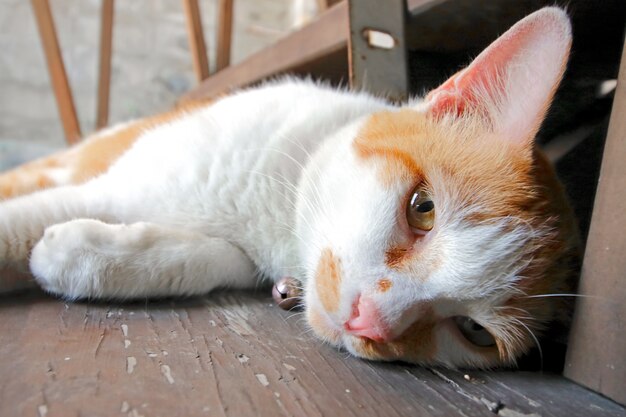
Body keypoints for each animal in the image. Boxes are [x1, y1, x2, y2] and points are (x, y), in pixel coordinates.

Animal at [0, 8, 576, 368]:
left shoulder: (234, 255)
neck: (278, 214)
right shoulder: (119, 185)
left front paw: (82, 253)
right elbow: (19, 224)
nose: (371, 322)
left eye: (474, 332)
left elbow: (201, 260)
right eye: (424, 207)